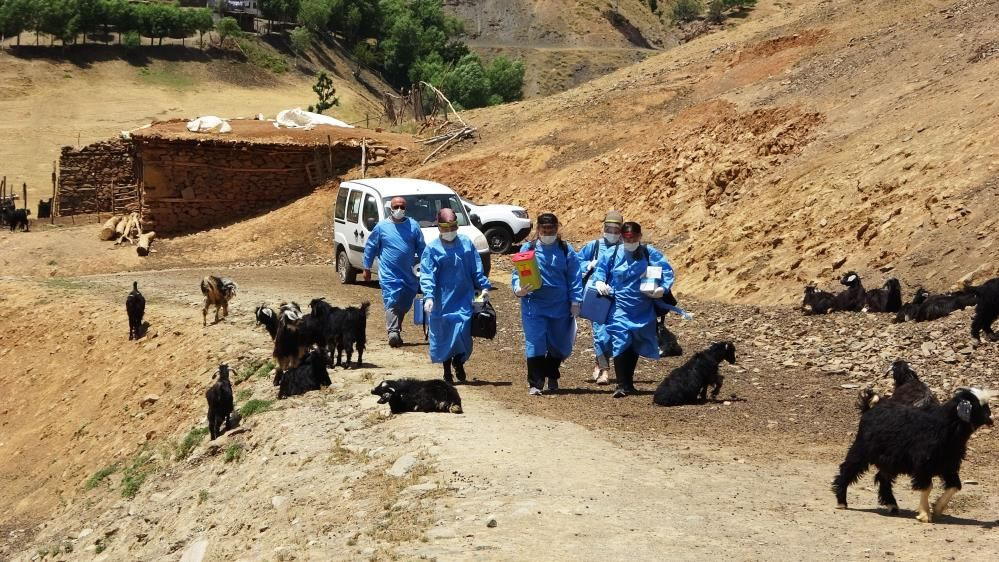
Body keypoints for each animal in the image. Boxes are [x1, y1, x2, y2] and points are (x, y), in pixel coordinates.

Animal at [832, 384, 996, 520]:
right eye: (978, 406)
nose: (992, 419)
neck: (944, 427)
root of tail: (868, 410)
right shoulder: (923, 465)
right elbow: (927, 487)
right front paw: (924, 514)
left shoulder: (948, 465)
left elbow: (955, 486)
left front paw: (937, 508)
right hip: (861, 450)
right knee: (847, 470)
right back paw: (841, 502)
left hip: (890, 460)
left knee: (883, 477)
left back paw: (892, 505)